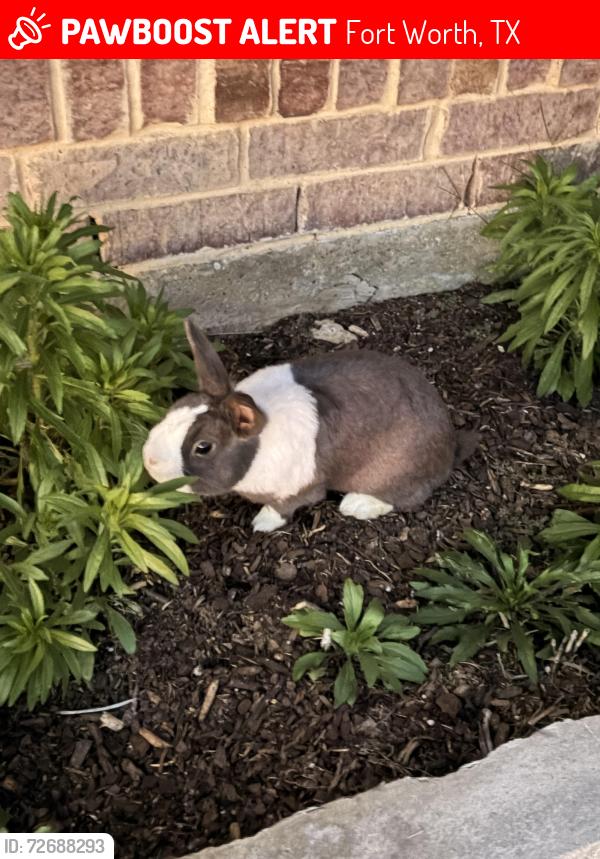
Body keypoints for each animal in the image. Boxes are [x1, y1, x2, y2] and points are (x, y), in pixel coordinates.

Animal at [142, 318, 476, 533]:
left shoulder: (297, 490)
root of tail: (451, 448)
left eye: (203, 447)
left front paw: (261, 524)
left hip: (394, 473)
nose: (149, 461)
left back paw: (355, 505)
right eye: (176, 407)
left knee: (405, 498)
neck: (259, 441)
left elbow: (282, 509)